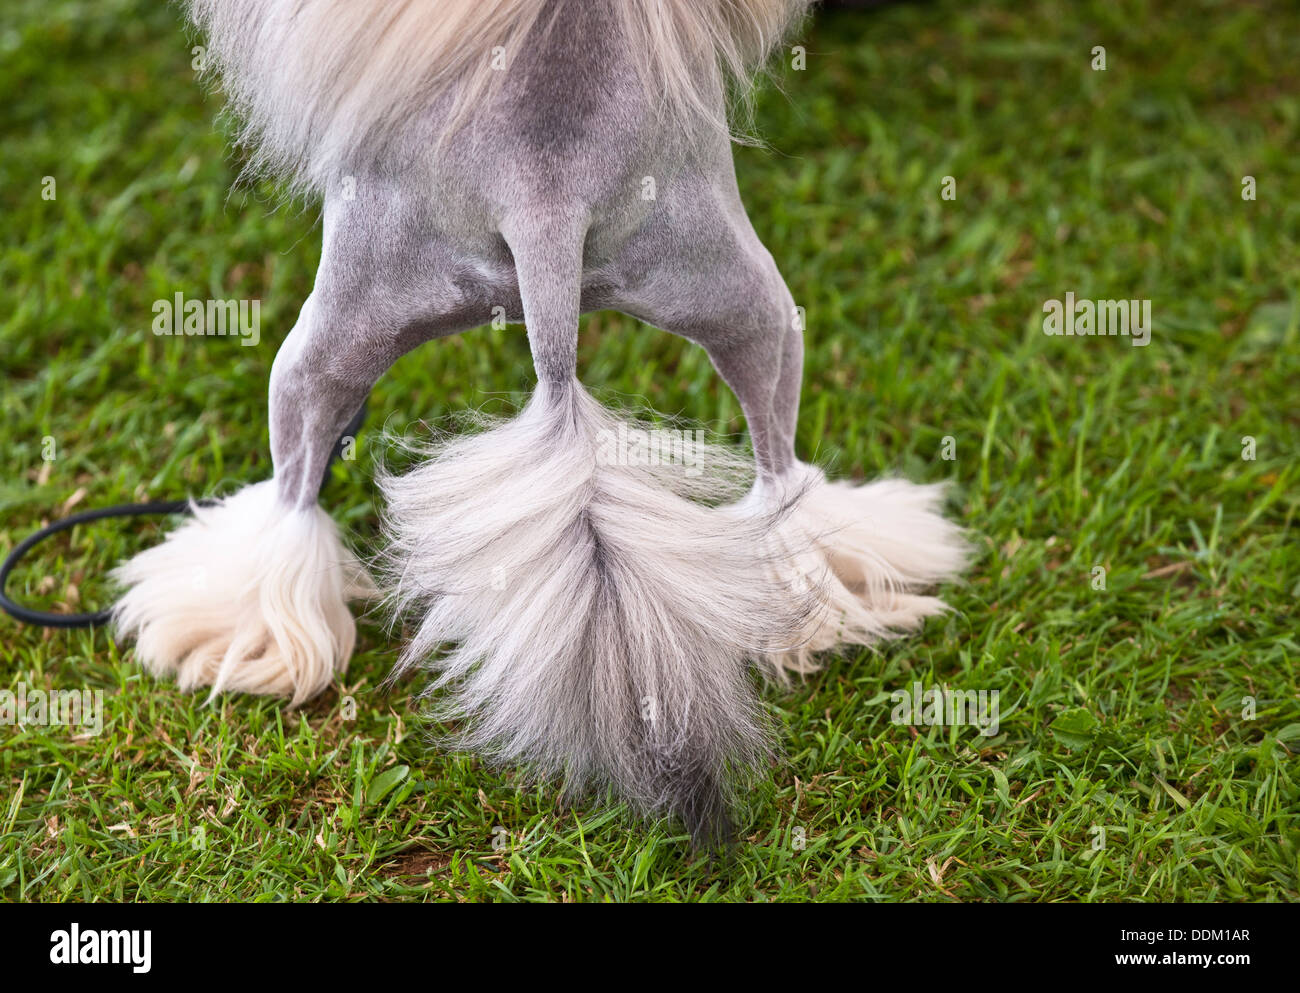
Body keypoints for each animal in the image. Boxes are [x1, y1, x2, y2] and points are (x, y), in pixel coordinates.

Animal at [111, 0, 967, 847]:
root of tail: (546, 199)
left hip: (338, 311)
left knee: (292, 489)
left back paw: (228, 631)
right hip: (744, 297)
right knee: (779, 462)